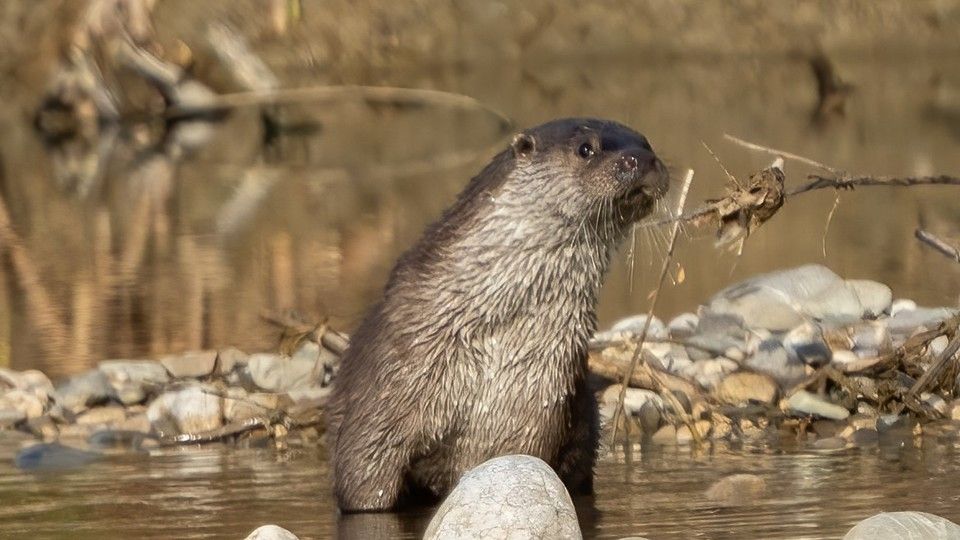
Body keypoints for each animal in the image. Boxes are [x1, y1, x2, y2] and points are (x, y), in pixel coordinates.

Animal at [328, 117, 668, 510]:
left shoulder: (529, 401)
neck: (489, 333)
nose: (640, 159)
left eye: (647, 142)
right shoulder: (386, 390)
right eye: (586, 148)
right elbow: (362, 475)